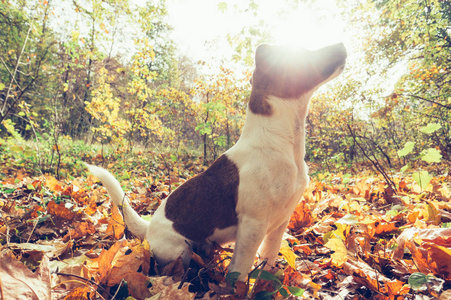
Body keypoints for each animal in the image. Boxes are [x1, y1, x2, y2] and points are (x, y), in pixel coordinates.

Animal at [89, 42, 350, 282]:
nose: (341, 44)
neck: (280, 142)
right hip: (180, 249)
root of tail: (148, 230)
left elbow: (268, 259)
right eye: (303, 53)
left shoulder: (280, 223)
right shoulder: (253, 226)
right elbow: (240, 269)